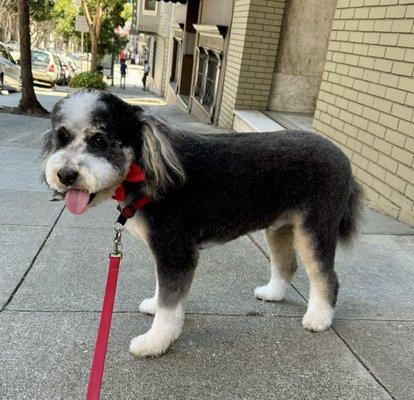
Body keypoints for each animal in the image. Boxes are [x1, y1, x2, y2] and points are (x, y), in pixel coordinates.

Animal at [41, 90, 362, 356]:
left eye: (99, 140)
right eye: (63, 137)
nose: (66, 175)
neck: (146, 168)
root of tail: (343, 157)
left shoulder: (176, 249)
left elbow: (170, 305)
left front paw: (154, 342)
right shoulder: (167, 251)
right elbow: (163, 289)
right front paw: (155, 306)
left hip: (315, 226)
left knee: (326, 277)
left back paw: (319, 318)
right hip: (279, 227)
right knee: (287, 264)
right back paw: (272, 294)